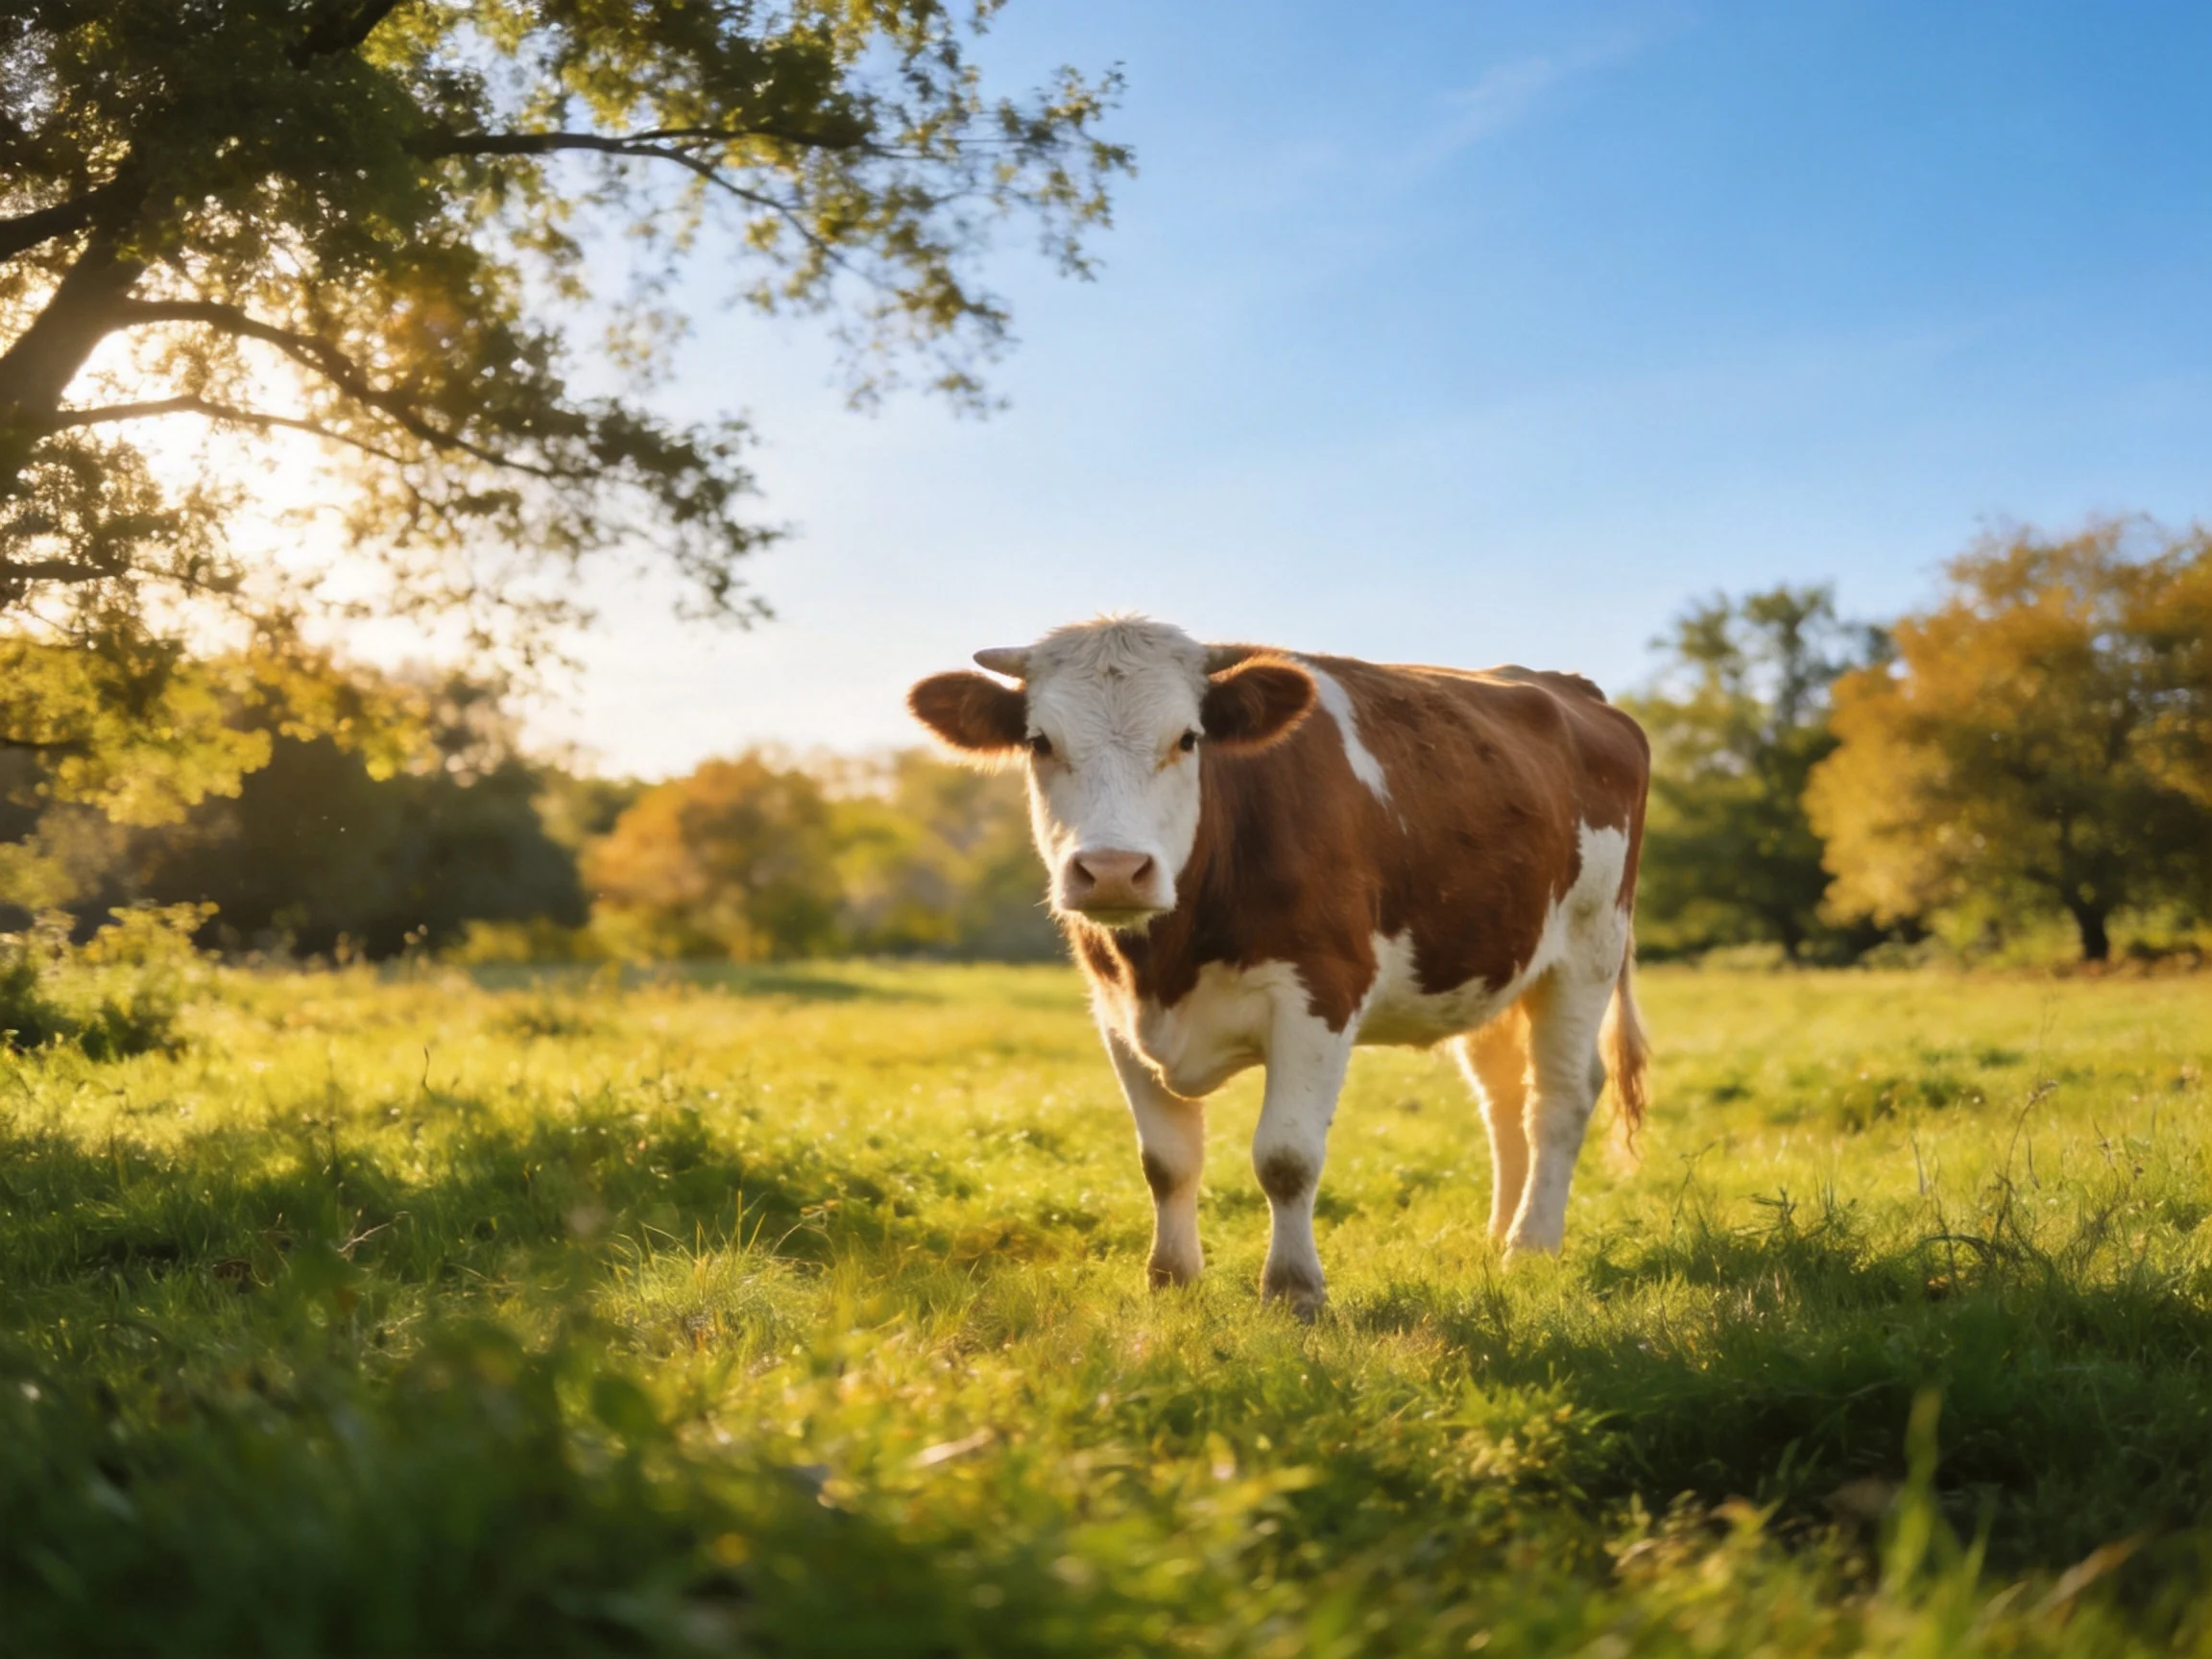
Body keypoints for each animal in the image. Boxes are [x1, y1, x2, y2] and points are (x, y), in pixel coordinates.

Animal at [908, 616, 1650, 1316]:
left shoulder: (1320, 992)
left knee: (1560, 1095)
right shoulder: (1115, 1010)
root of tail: (1570, 688)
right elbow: (1166, 1161)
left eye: (1188, 738)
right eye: (1040, 742)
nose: (1114, 870)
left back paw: (1531, 1247)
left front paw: (1294, 1291)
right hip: (1489, 964)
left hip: (1589, 948)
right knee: (1503, 1094)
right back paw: (1498, 1234)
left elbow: (1286, 1157)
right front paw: (1171, 1281)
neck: (1167, 966)